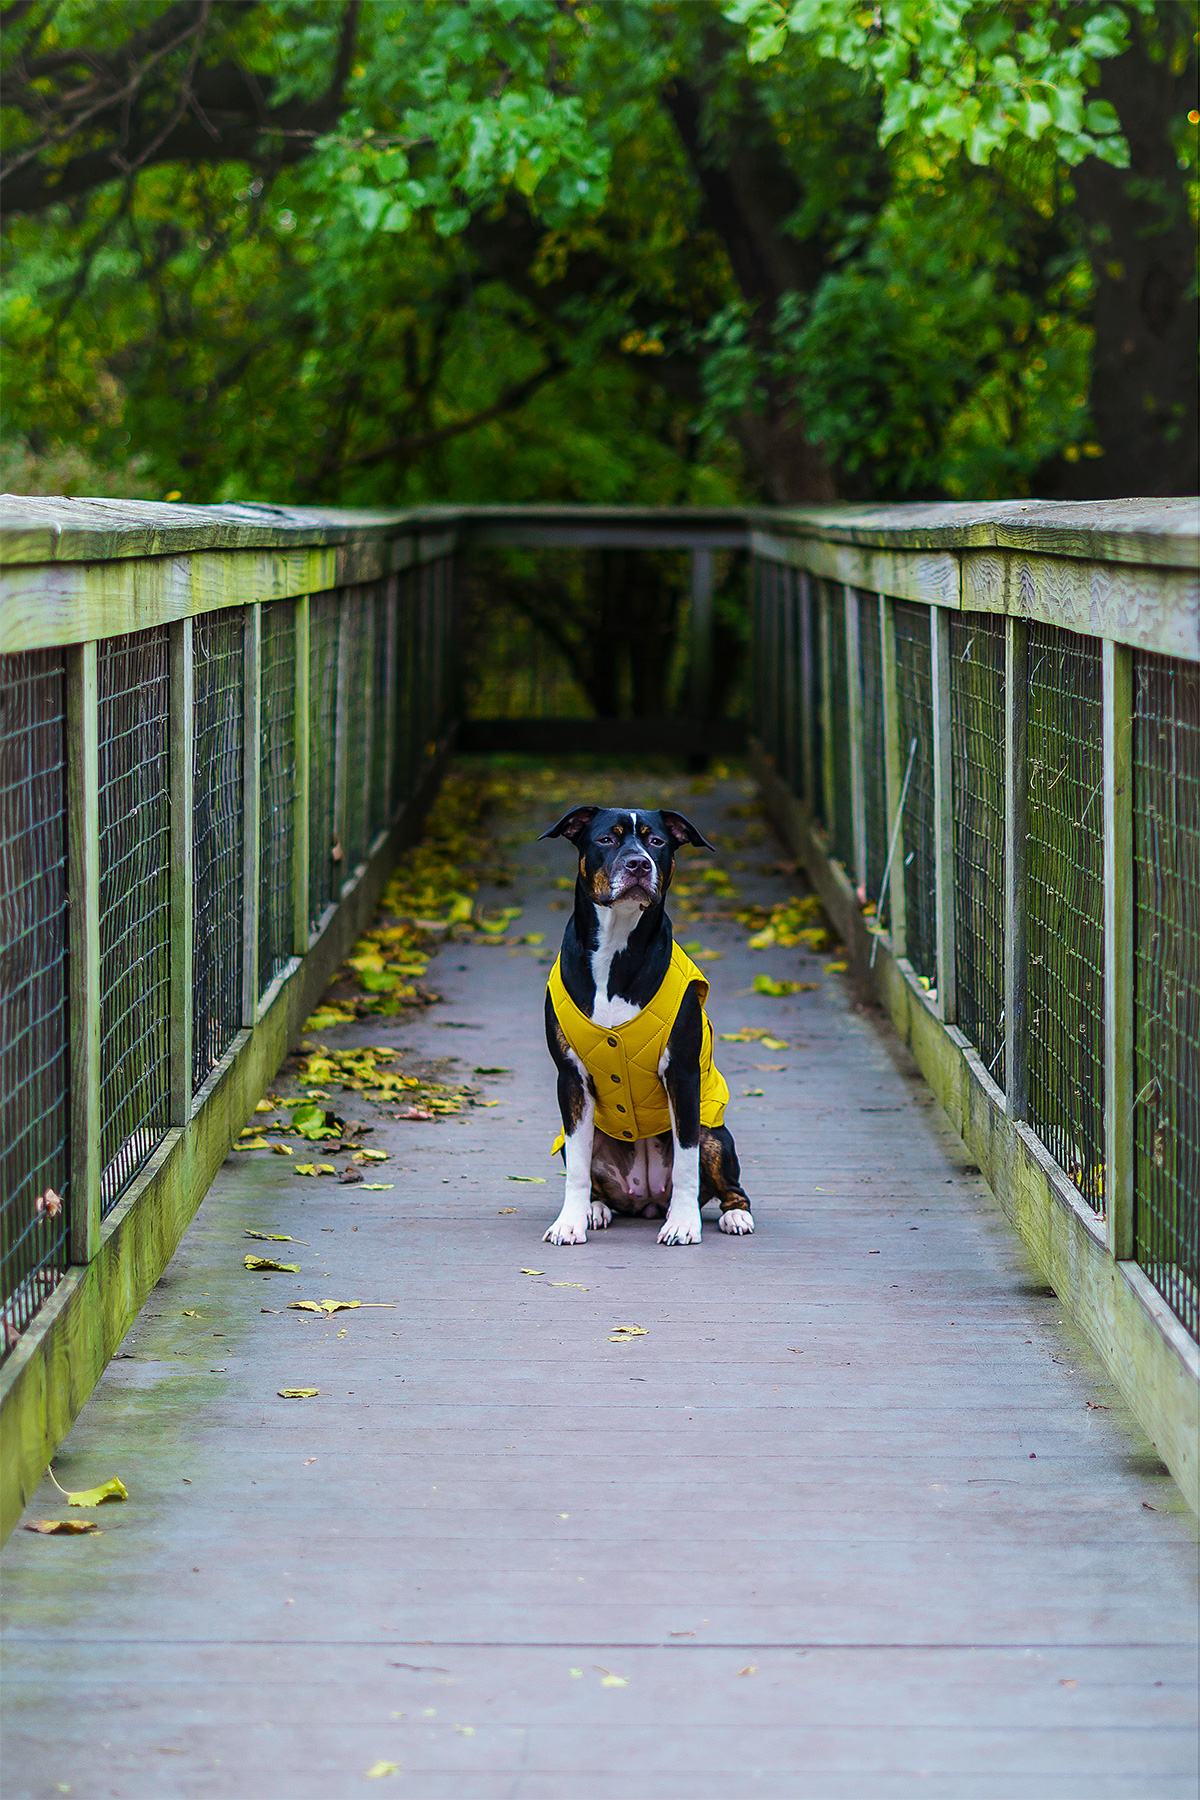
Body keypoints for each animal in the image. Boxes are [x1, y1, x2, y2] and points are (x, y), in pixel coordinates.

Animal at [543, 806, 755, 1245]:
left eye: (656, 841)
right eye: (607, 838)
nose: (638, 863)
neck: (616, 947)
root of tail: (647, 1200)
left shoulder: (683, 1075)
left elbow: (687, 1160)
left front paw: (684, 1224)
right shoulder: (570, 1079)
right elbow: (577, 1169)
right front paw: (569, 1222)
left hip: (716, 1134)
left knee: (729, 1185)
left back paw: (733, 1215)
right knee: (592, 1176)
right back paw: (595, 1209)